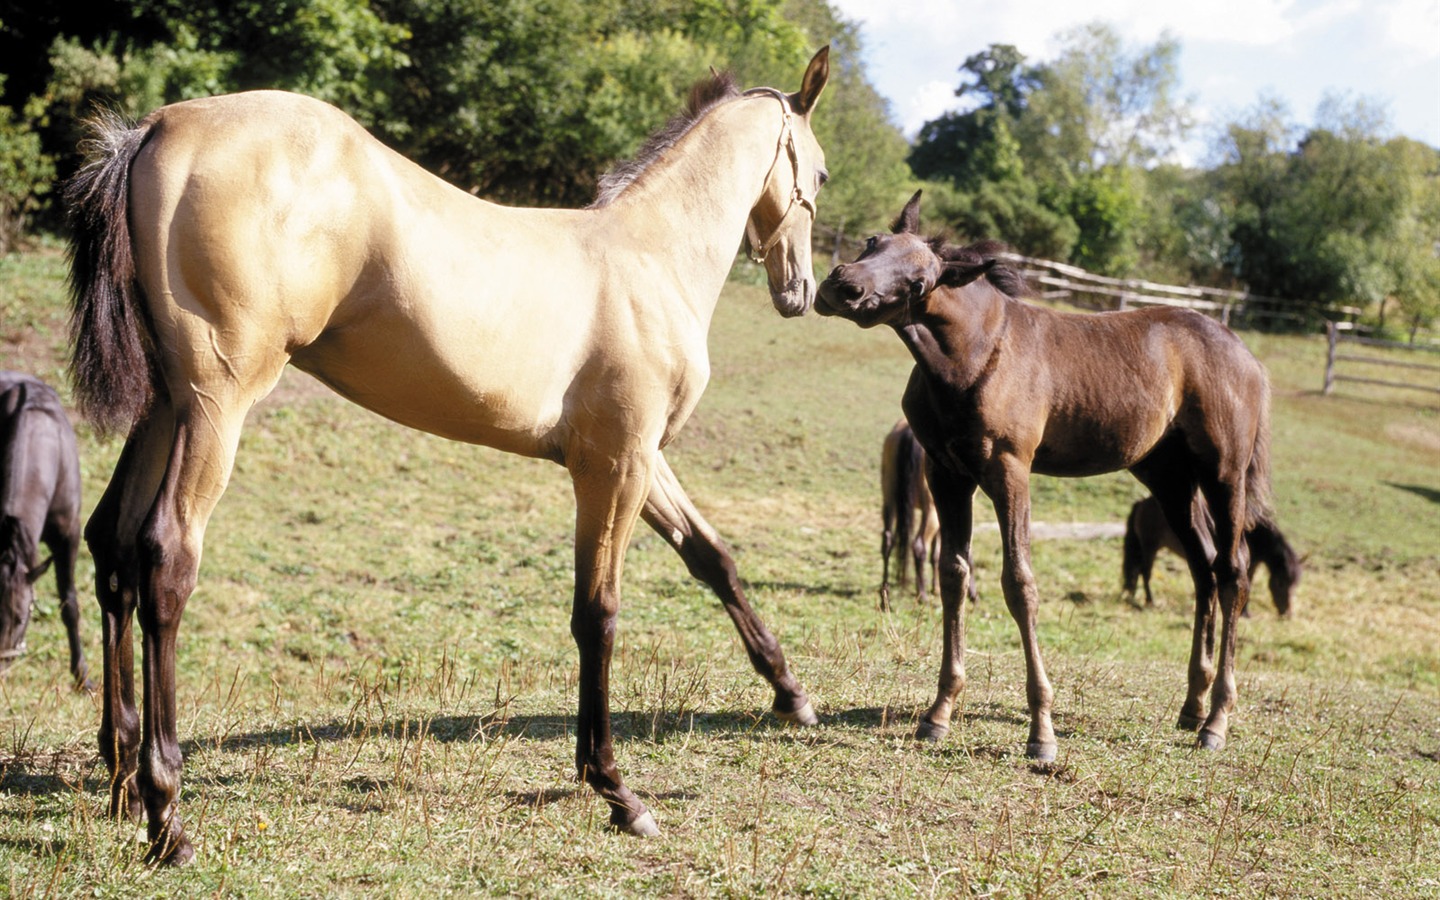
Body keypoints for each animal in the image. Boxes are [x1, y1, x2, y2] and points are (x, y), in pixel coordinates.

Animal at [64, 50, 835, 864]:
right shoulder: (615, 465)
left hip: (165, 406)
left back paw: (121, 778)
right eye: (818, 174)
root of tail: (157, 126)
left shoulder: (636, 459)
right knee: (166, 557)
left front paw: (791, 694)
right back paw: (166, 815)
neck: (649, 256)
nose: (800, 289)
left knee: (113, 545)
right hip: (216, 403)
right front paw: (616, 790)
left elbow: (712, 557)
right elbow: (598, 613)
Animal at [823, 191, 1272, 760]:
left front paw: (1042, 731)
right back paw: (1191, 706)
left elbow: (1019, 583)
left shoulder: (1010, 469)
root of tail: (1249, 359)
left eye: (920, 282)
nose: (841, 286)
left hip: (1223, 472)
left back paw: (1216, 720)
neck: (973, 356)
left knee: (1233, 569)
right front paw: (939, 712)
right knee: (1204, 568)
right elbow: (953, 574)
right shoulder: (948, 474)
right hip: (1169, 478)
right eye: (873, 241)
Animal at [1123, 492, 1307, 616]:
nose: (1288, 614)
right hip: (1150, 547)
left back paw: (1132, 596)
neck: (1254, 533)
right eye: (1281, 583)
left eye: (1296, 584)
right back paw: (1150, 601)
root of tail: (1142, 502)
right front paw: (1244, 613)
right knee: (1145, 573)